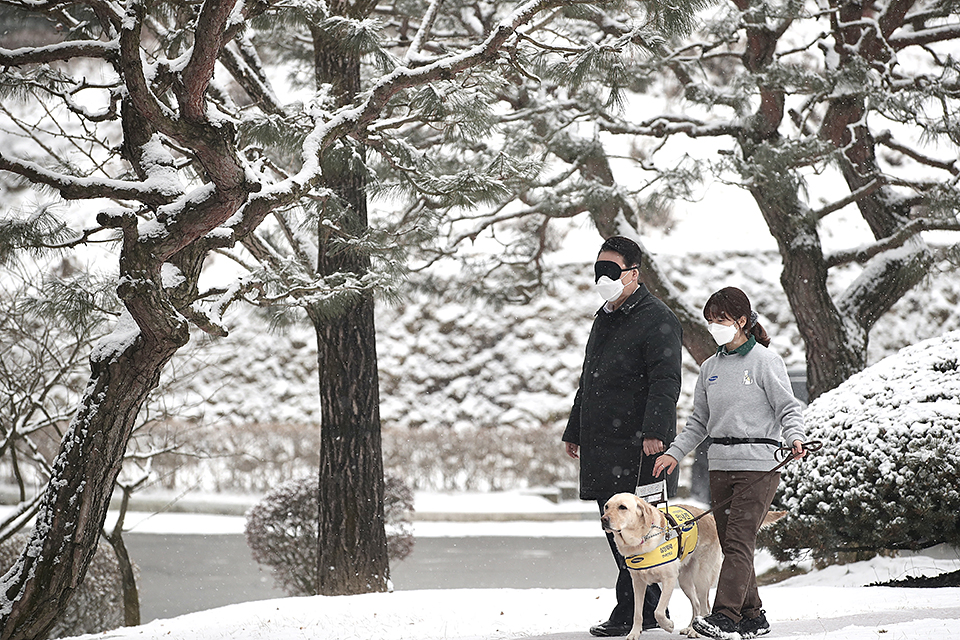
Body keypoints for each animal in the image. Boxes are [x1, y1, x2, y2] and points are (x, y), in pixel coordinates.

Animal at [600, 492, 720, 636]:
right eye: (606, 507)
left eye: (622, 507)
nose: (603, 519)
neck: (641, 539)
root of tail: (710, 517)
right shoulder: (638, 583)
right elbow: (637, 613)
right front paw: (634, 633)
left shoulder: (669, 579)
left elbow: (658, 611)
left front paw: (668, 626)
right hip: (684, 580)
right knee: (696, 604)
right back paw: (690, 628)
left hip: (700, 578)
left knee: (704, 607)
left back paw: (695, 632)